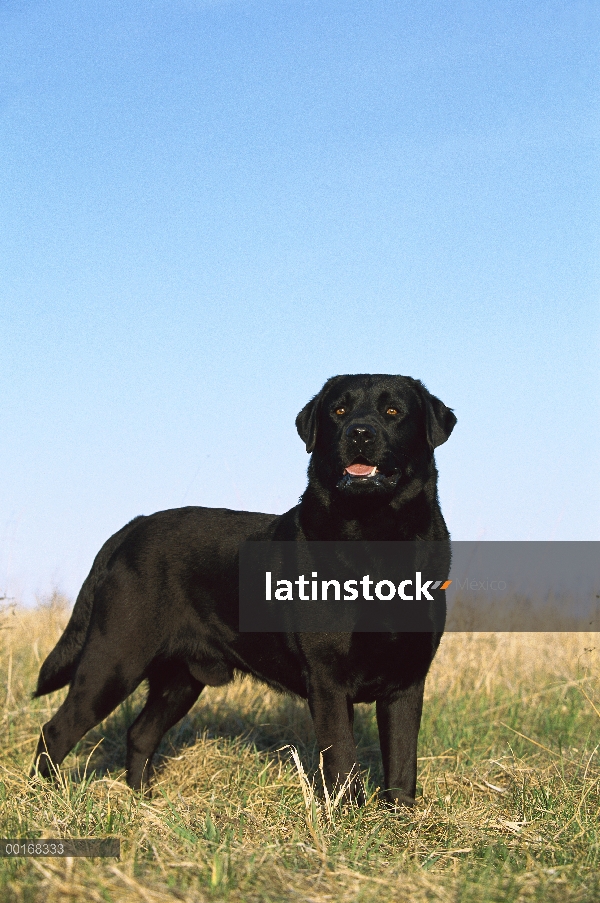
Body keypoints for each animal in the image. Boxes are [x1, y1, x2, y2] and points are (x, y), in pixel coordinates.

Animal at [31, 372, 454, 804]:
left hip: (180, 679)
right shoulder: (328, 678)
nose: (360, 433)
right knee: (56, 731)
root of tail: (134, 527)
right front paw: (348, 814)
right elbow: (342, 764)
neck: (376, 540)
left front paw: (398, 815)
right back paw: (44, 798)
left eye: (393, 411)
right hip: (115, 659)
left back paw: (141, 801)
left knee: (140, 733)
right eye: (339, 410)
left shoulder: (407, 680)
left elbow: (402, 764)